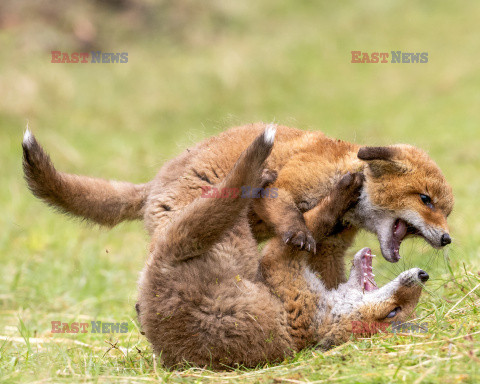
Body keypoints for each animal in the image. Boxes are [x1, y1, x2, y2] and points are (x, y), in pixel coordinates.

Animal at [21, 123, 454, 288]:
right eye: (425, 199)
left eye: (446, 210)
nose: (448, 239)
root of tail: (156, 182)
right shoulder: (284, 187)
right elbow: (290, 215)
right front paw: (297, 232)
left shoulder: (331, 249)